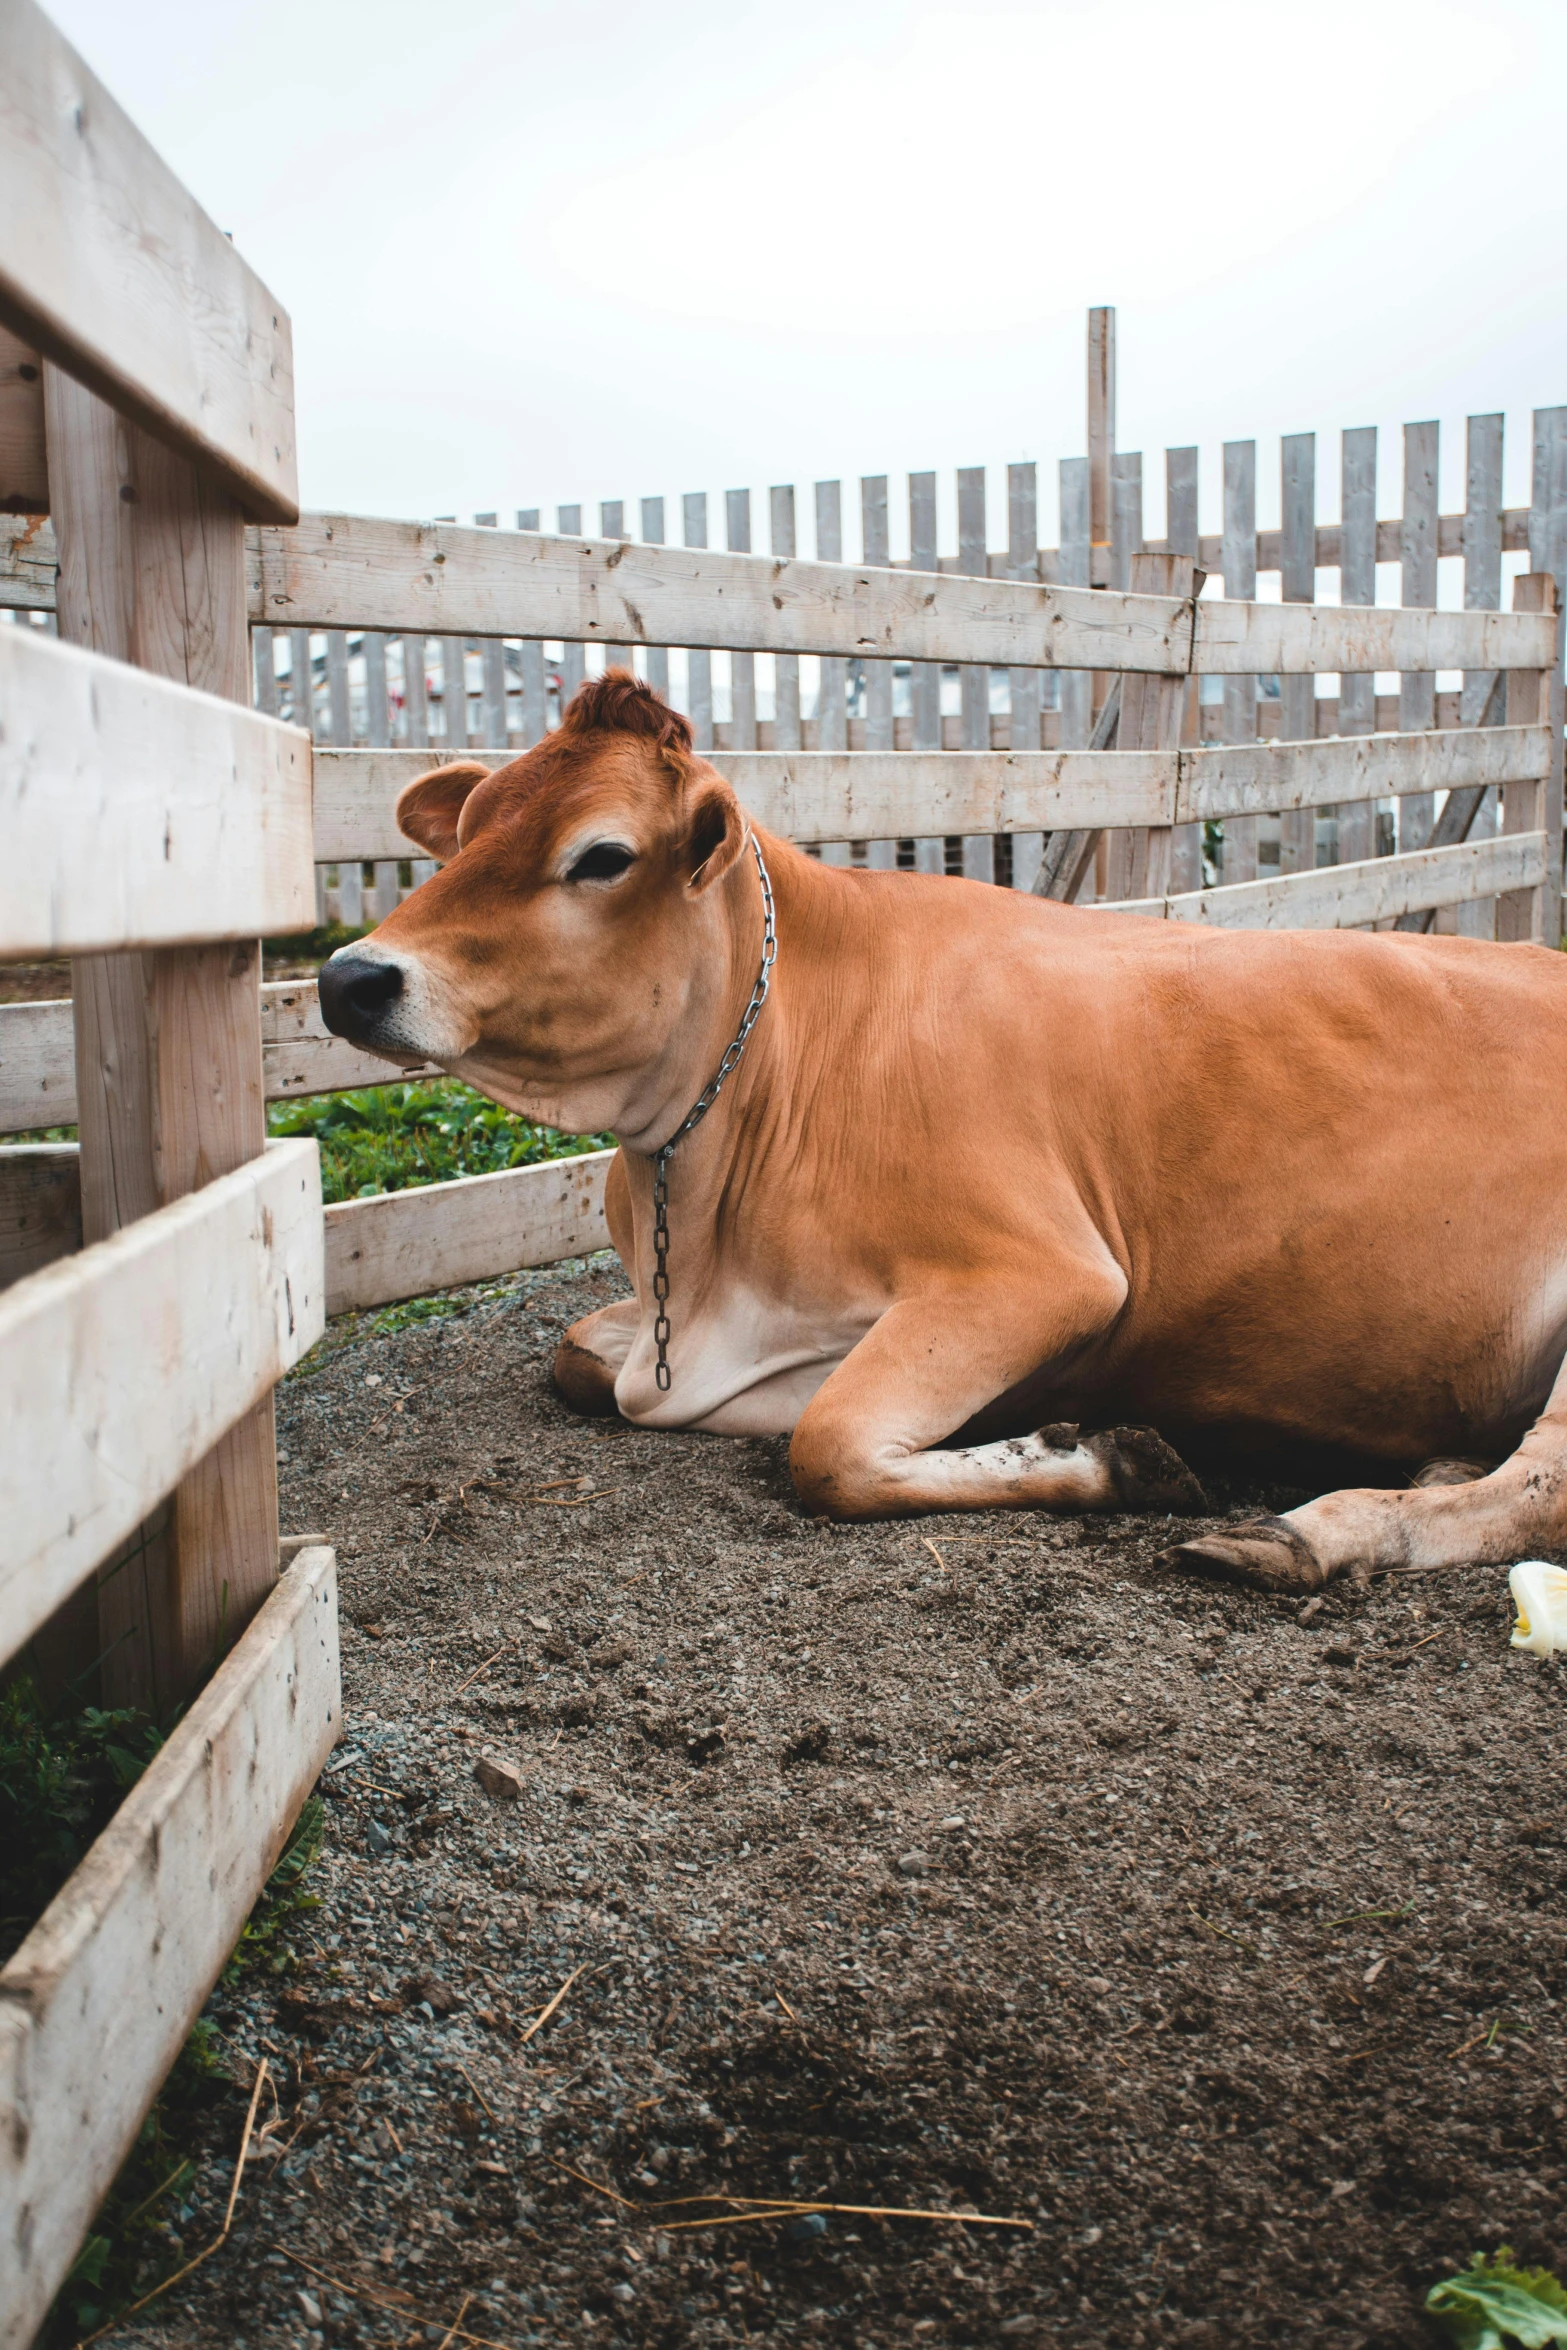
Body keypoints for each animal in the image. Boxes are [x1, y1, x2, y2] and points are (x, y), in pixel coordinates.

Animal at [314, 676, 1567, 1597]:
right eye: (467, 831)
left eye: (601, 855)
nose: (347, 977)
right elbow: (580, 1356)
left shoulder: (1041, 1271)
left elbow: (825, 1447)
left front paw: (1110, 1452)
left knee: (1538, 1488)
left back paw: (1307, 1532)